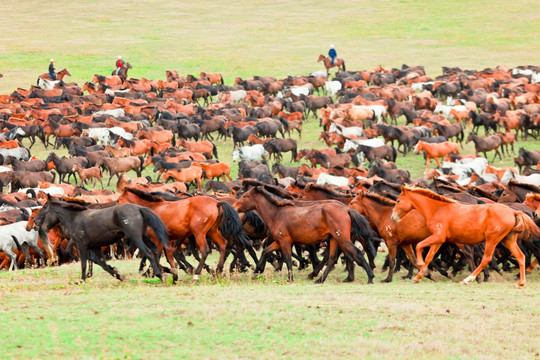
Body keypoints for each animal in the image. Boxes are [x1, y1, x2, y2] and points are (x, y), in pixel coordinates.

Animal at [234, 186, 374, 284]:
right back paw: (320, 279)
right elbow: (266, 251)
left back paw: (370, 277)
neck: (277, 214)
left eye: (245, 196)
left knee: (356, 253)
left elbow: (287, 259)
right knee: (331, 258)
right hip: (334, 239)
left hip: (342, 238)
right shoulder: (279, 241)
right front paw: (257, 270)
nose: (234, 206)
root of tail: (347, 209)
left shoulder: (285, 242)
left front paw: (290, 278)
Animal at [392, 186, 540, 286]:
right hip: (508, 240)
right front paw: (419, 276)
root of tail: (514, 212)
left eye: (398, 201)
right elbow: (429, 257)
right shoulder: (439, 240)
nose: (393, 217)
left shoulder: (438, 237)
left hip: (492, 240)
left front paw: (421, 268)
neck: (438, 209)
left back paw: (468, 279)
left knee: (486, 259)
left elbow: (419, 247)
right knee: (521, 257)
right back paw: (520, 282)